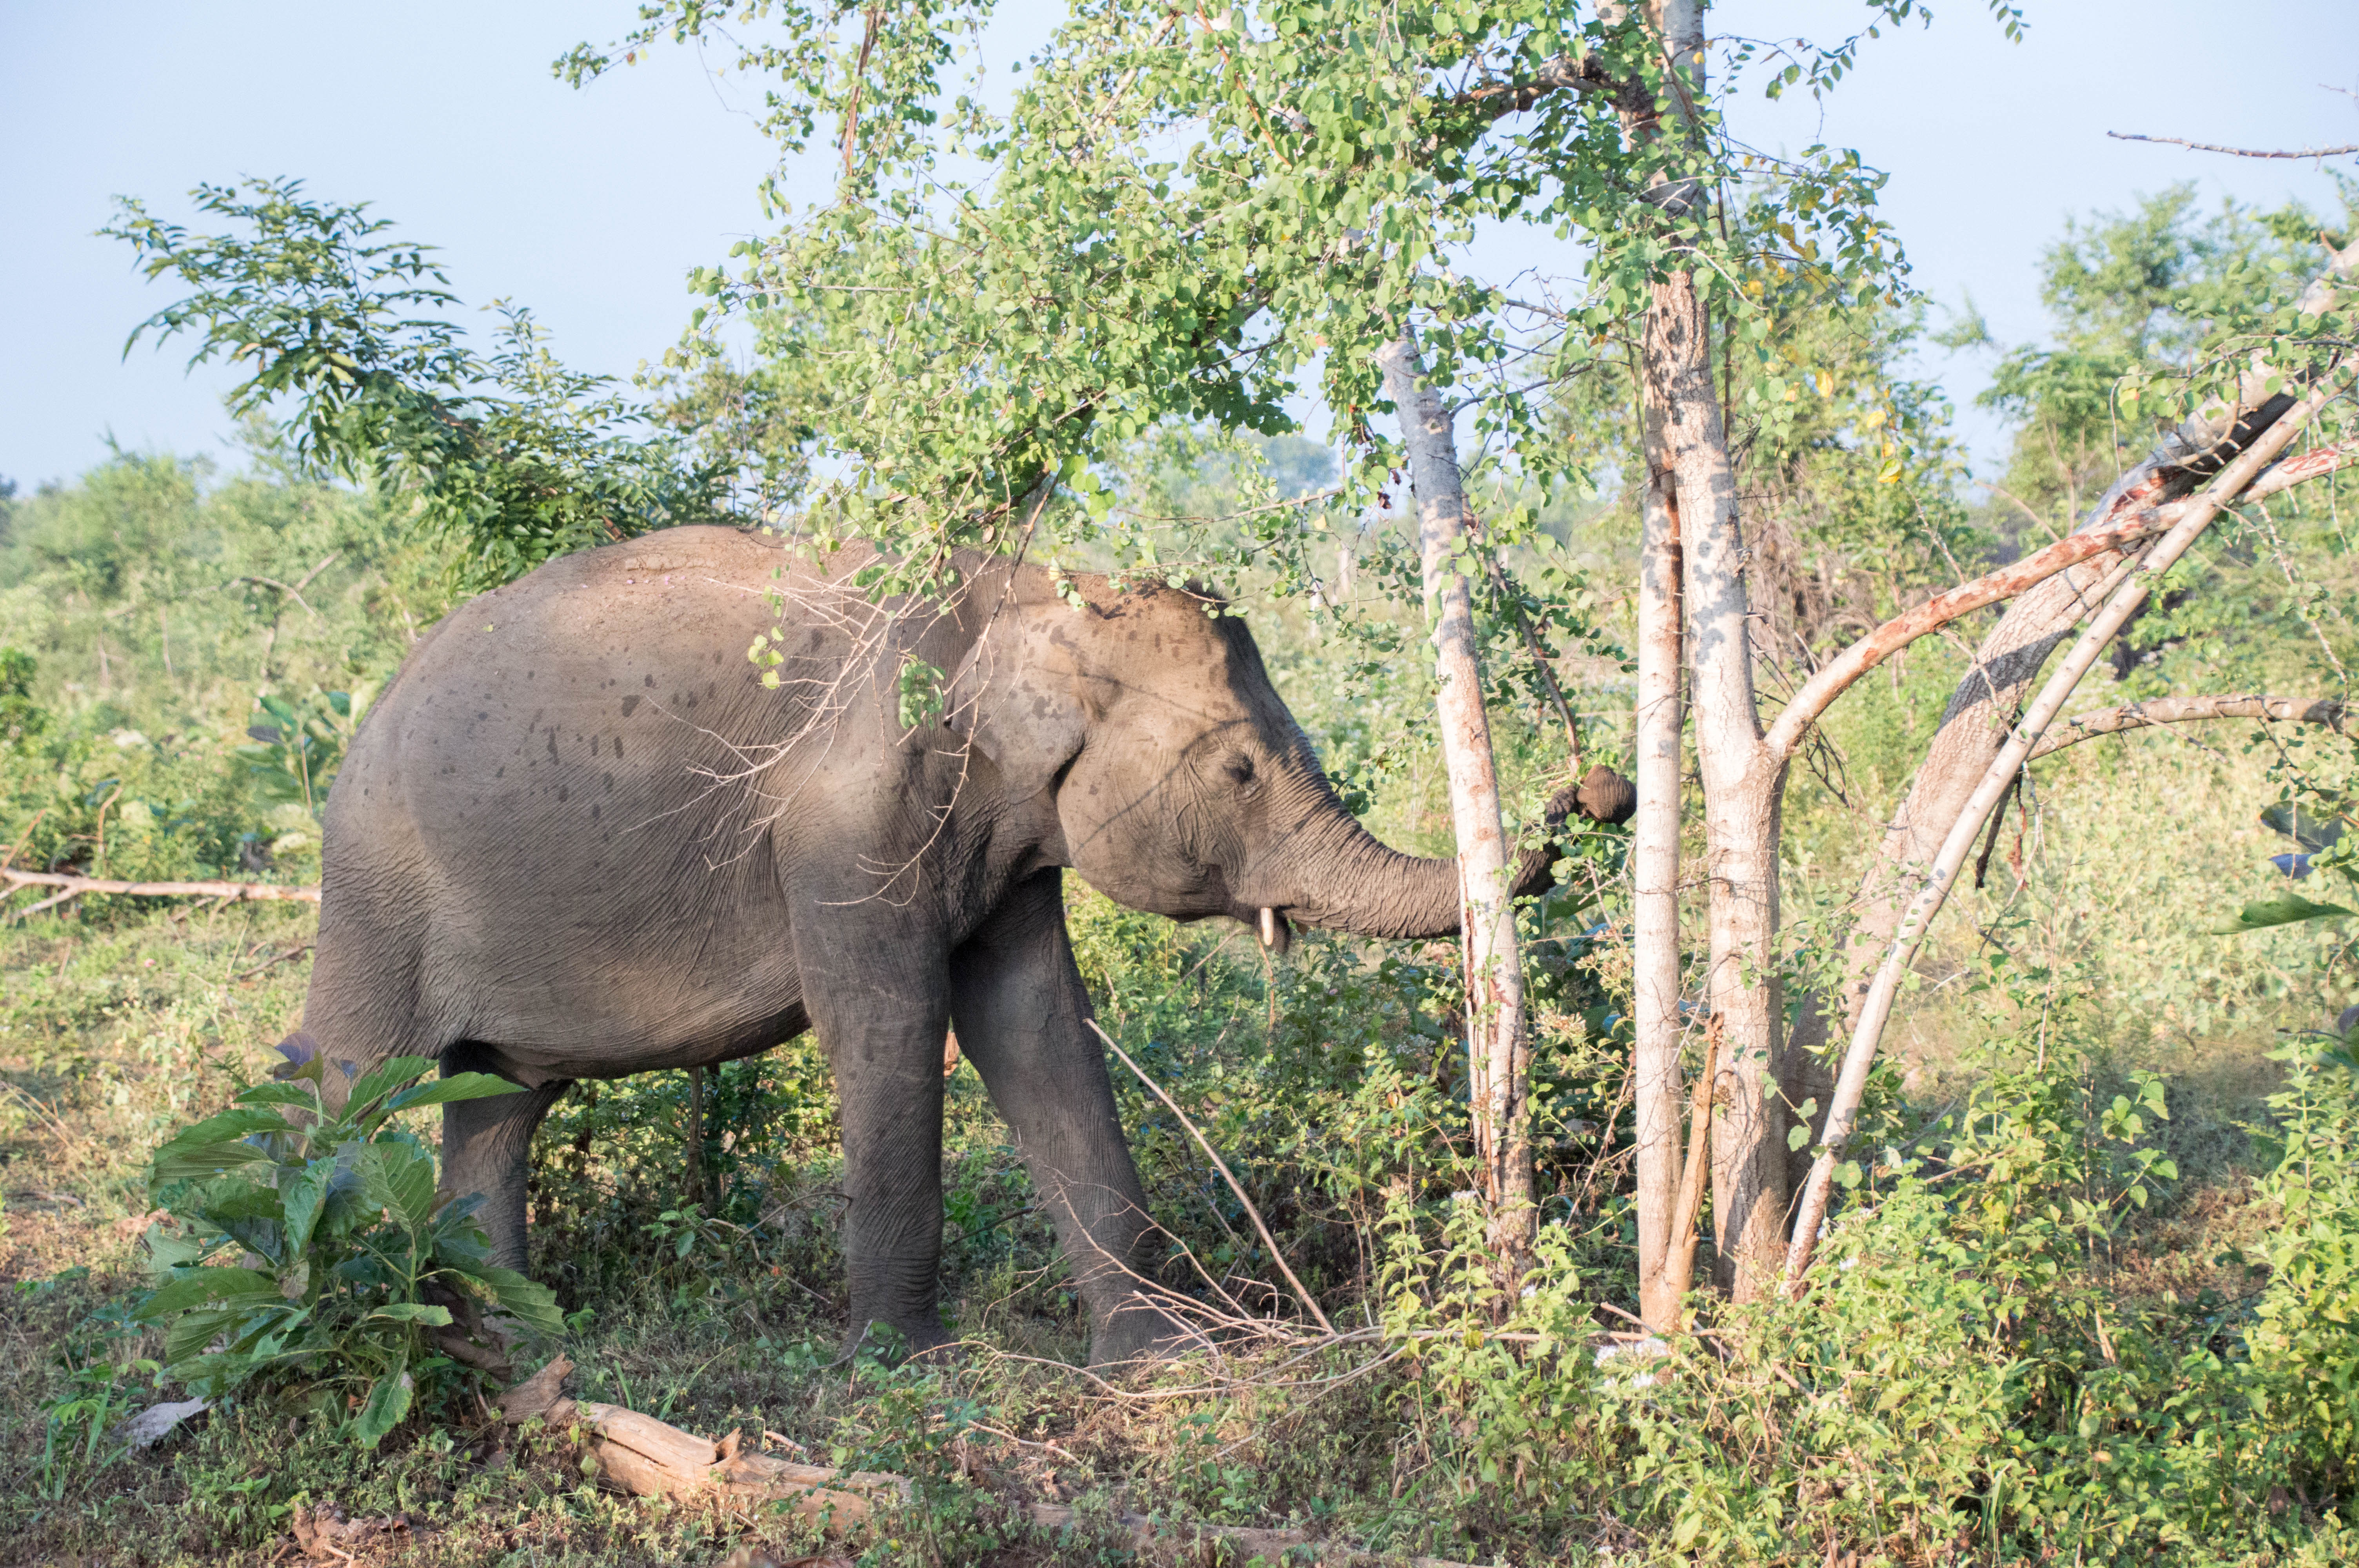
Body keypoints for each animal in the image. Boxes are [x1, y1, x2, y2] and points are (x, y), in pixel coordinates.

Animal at [291, 524, 1633, 1366]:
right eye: (1242, 770)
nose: (1596, 789)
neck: (1034, 585)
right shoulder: (846, 813)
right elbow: (889, 1023)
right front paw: (903, 1368)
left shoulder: (1010, 838)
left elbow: (1035, 1023)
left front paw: (1158, 1355)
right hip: (373, 883)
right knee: (354, 1085)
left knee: (500, 1100)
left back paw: (519, 1341)